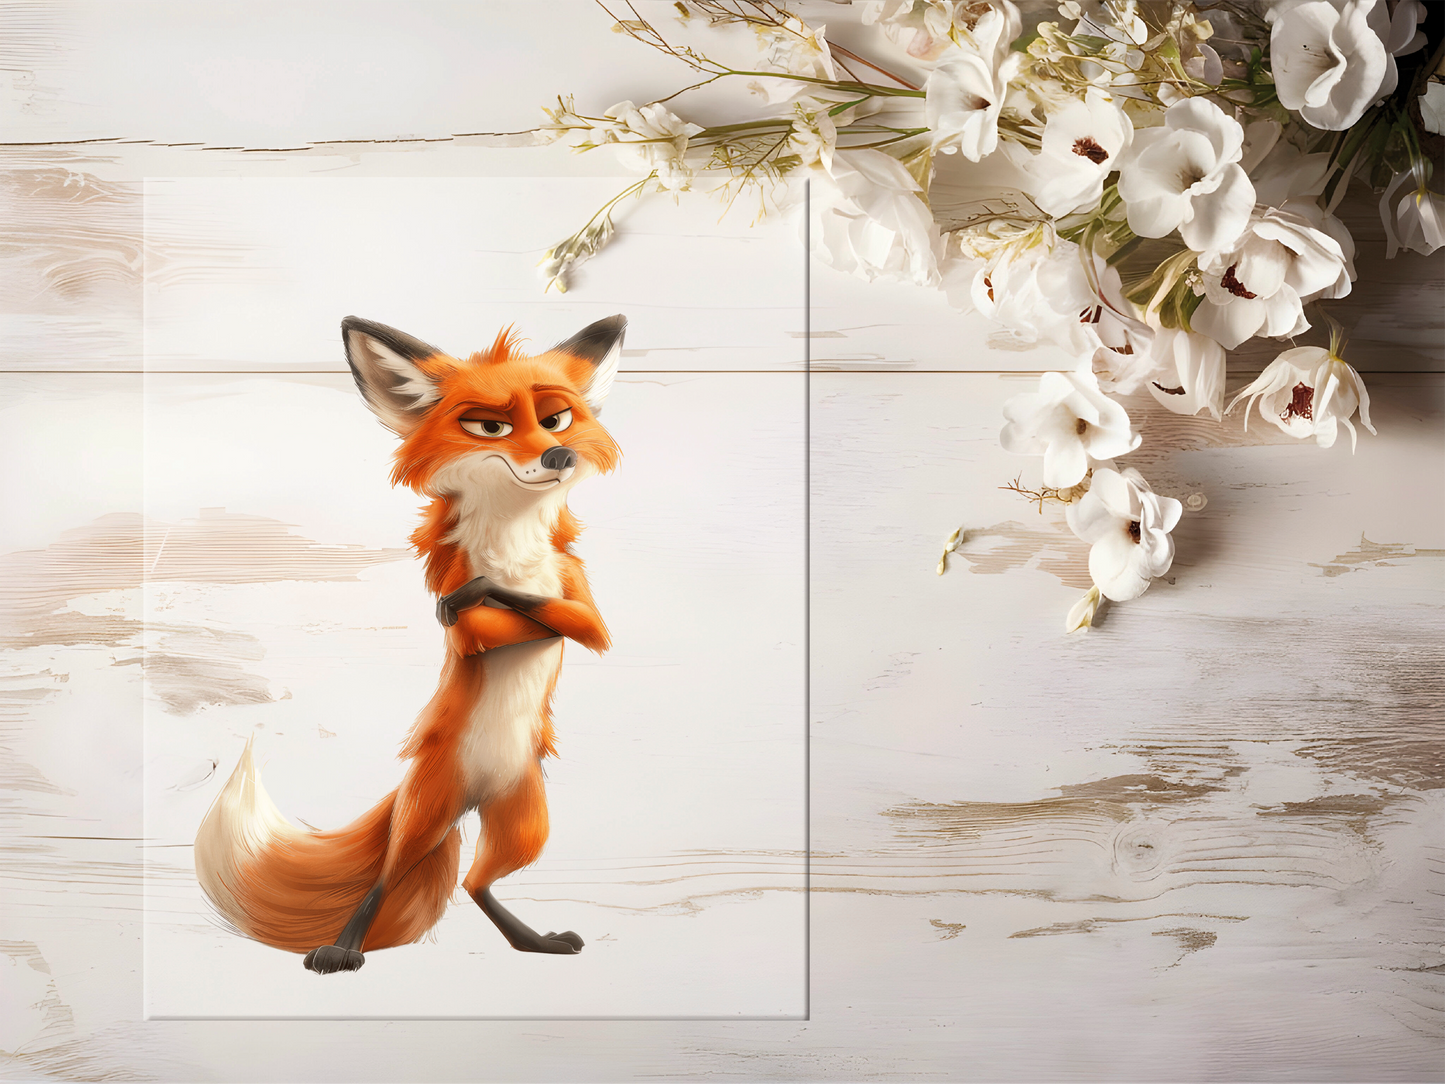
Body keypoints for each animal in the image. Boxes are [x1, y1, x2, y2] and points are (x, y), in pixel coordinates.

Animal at [194, 313, 626, 973]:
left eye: (556, 419)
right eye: (491, 426)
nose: (560, 453)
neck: (515, 552)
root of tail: (473, 794)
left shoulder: (574, 590)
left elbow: (578, 625)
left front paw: (490, 592)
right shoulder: (466, 607)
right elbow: (480, 620)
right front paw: (471, 597)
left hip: (525, 825)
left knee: (475, 883)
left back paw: (533, 941)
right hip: (426, 817)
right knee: (387, 878)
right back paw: (343, 948)